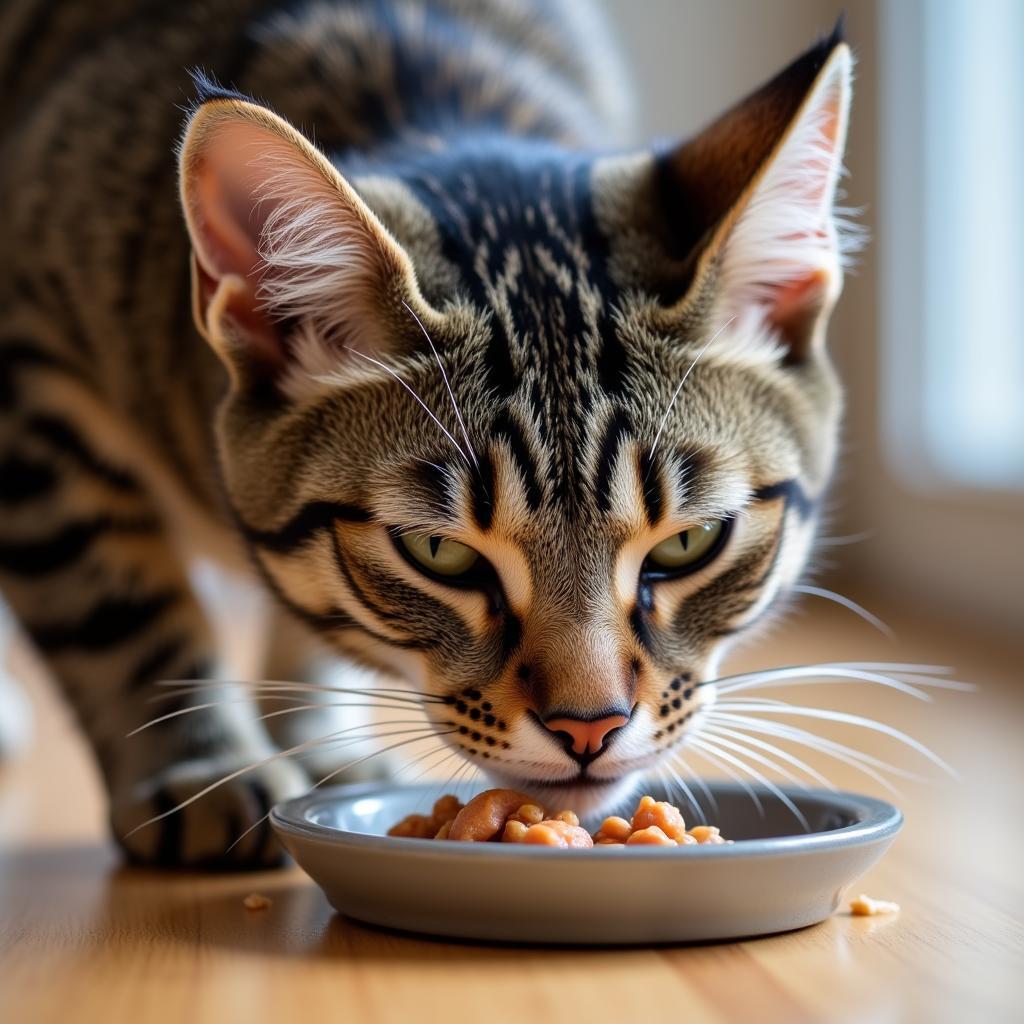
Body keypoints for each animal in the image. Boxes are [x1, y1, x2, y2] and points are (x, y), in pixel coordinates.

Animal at [0, 0, 856, 868]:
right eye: (438, 553)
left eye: (690, 542)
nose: (590, 728)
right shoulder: (32, 375)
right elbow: (115, 611)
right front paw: (201, 766)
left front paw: (319, 740)